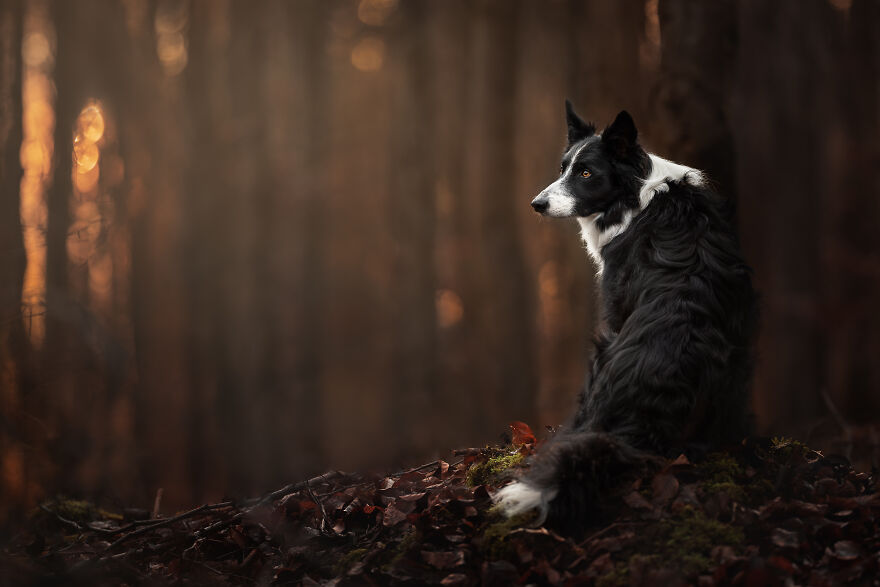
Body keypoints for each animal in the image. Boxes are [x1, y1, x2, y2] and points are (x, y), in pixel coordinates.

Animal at [496, 103, 756, 536]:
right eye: (563, 167)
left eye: (586, 173)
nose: (536, 204)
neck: (639, 195)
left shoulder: (614, 309)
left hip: (599, 356)